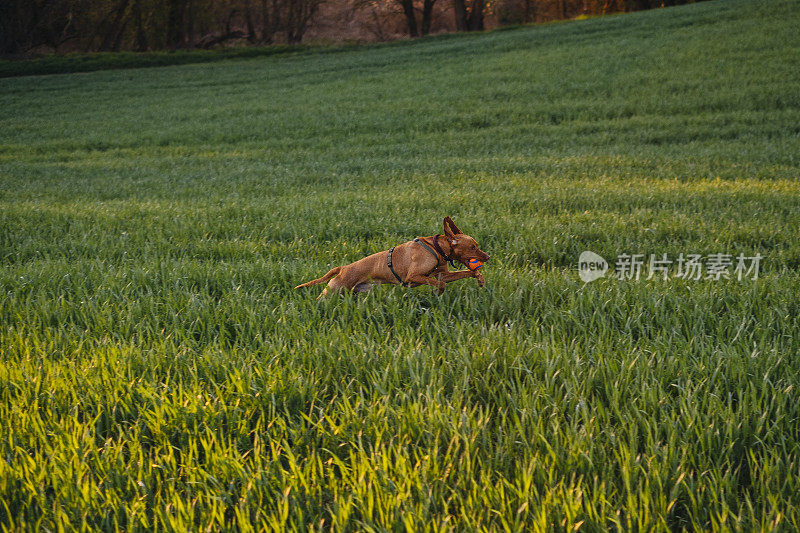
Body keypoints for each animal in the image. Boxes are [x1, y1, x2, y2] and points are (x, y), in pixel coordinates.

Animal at [296, 217, 490, 300]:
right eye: (473, 247)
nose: (487, 256)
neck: (437, 248)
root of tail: (343, 268)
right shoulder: (413, 276)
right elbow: (440, 284)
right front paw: (438, 294)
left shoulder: (443, 274)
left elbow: (465, 273)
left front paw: (480, 278)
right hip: (333, 290)